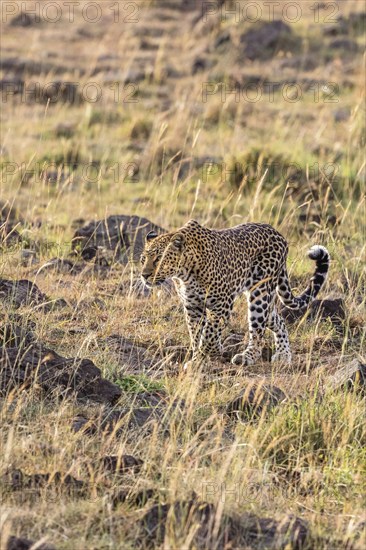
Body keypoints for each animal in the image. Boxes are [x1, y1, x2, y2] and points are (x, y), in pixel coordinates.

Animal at [139, 221, 328, 370]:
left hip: (260, 293)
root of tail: (278, 234)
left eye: (159, 259)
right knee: (278, 320)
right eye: (143, 259)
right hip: (265, 299)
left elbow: (209, 333)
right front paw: (198, 358)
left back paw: (247, 357)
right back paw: (283, 354)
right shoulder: (193, 306)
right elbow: (196, 334)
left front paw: (207, 354)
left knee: (258, 331)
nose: (144, 275)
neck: (185, 273)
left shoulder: (222, 303)